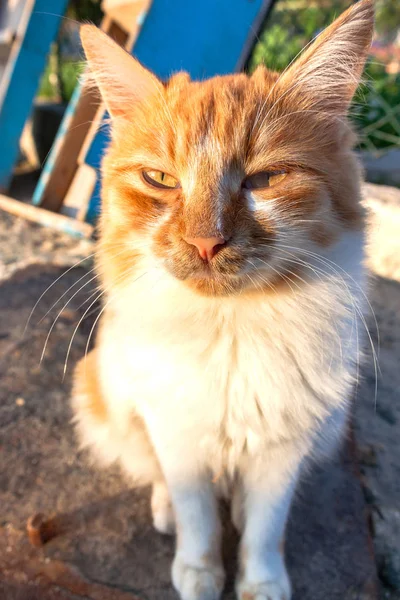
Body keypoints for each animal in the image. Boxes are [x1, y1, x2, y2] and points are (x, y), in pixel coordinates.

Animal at [72, 2, 376, 596]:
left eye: (266, 178)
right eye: (160, 178)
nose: (205, 243)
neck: (230, 327)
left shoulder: (285, 447)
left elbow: (265, 529)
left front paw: (261, 582)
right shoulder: (175, 431)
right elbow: (197, 516)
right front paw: (199, 570)